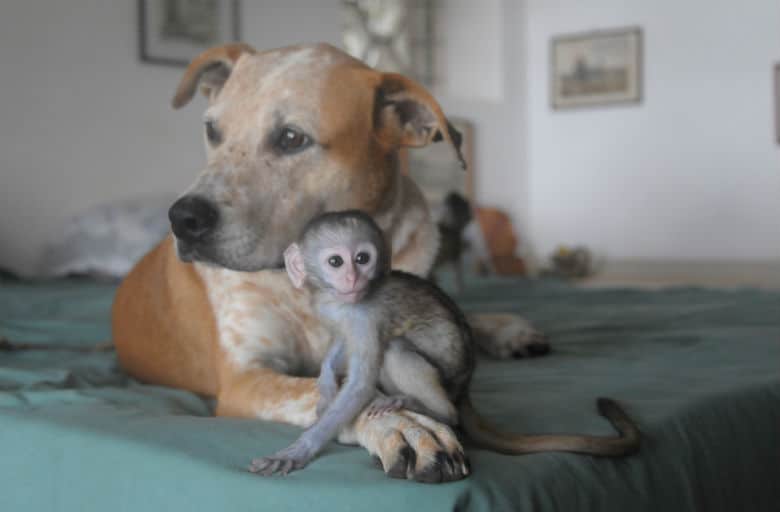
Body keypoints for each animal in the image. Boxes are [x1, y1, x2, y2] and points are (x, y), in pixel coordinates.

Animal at [112, 42, 552, 482]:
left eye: (292, 138)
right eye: (212, 131)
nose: (183, 220)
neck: (307, 284)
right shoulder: (245, 376)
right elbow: (323, 391)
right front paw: (403, 425)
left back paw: (511, 330)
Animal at [250, 209, 640, 476]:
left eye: (362, 258)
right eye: (335, 261)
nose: (352, 278)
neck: (340, 300)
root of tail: (466, 385)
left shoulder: (363, 314)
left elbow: (360, 384)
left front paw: (299, 450)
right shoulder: (335, 309)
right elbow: (339, 346)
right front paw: (327, 381)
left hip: (448, 379)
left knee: (396, 351)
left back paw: (434, 410)